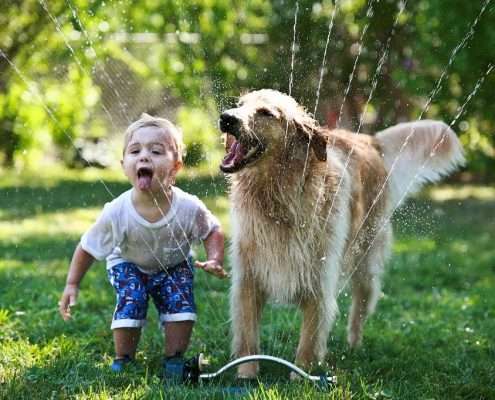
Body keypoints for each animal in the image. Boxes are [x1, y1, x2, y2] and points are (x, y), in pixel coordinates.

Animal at [219, 88, 466, 378]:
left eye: (266, 113)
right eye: (240, 105)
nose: (226, 117)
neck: (278, 198)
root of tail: (369, 140)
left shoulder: (319, 281)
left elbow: (309, 341)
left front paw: (300, 376)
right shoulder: (248, 279)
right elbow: (248, 336)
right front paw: (246, 374)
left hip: (366, 260)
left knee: (361, 306)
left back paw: (354, 346)